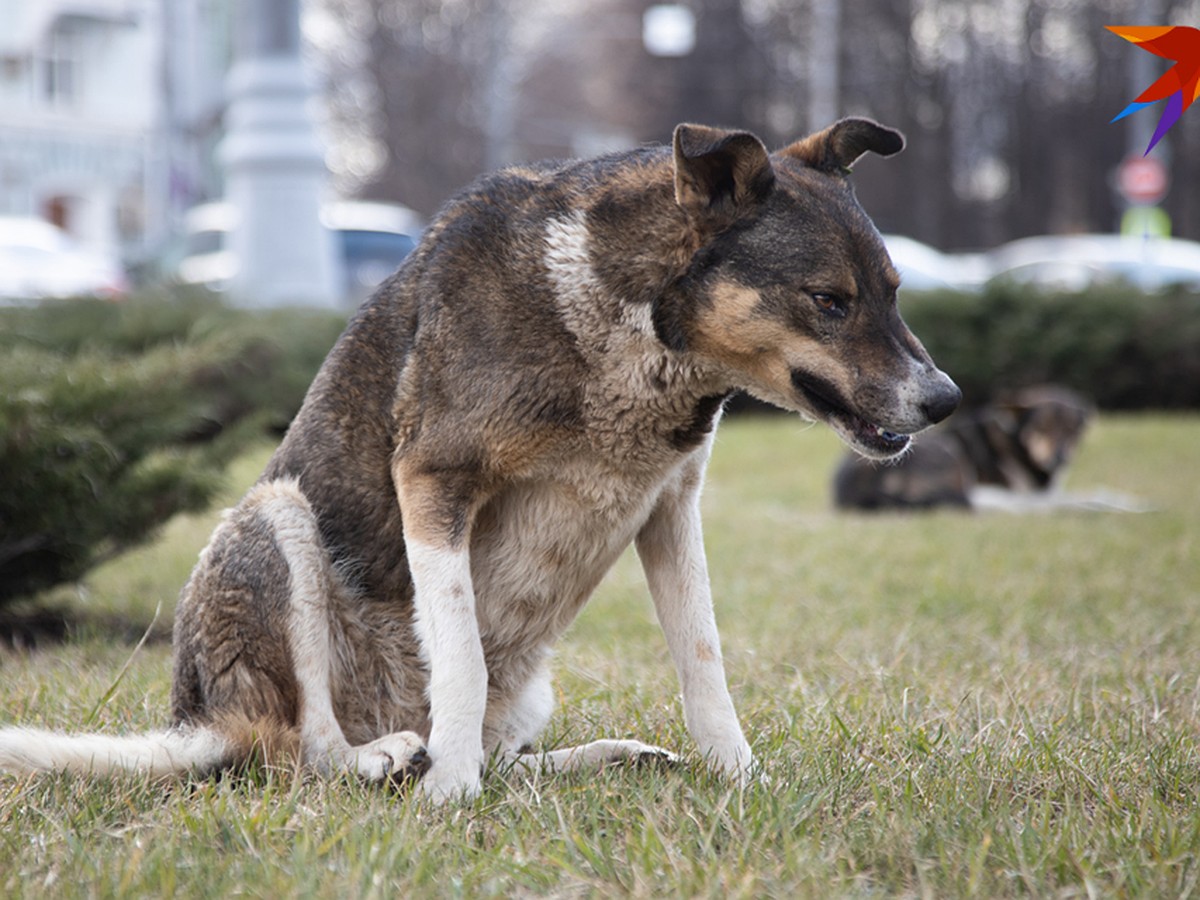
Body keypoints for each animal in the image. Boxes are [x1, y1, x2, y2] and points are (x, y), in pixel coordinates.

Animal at [0, 118, 955, 801]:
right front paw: (449, 791)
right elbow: (457, 651)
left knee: (505, 760)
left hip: (529, 688)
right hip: (276, 524)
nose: (945, 399)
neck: (622, 326)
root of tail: (200, 723)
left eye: (895, 293)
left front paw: (741, 777)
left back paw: (600, 757)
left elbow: (703, 659)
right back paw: (390, 760)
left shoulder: (670, 510)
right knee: (301, 752)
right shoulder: (434, 481)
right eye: (829, 301)